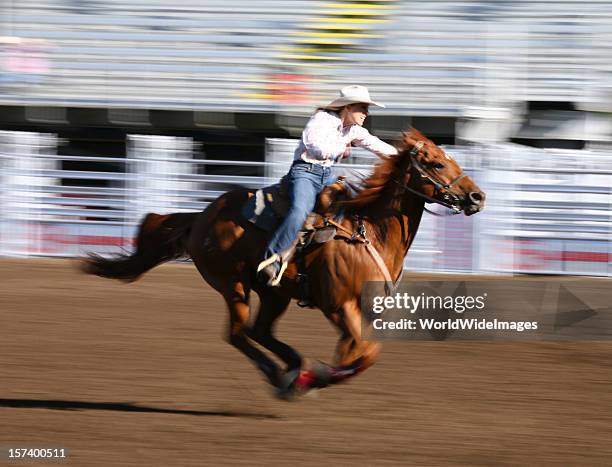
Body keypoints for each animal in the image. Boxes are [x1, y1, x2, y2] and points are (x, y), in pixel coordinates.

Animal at [81, 130, 486, 400]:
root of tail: (201, 217)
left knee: (259, 331)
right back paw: (283, 376)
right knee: (238, 334)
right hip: (233, 285)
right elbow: (362, 353)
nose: (477, 196)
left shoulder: (366, 311)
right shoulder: (339, 307)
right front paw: (315, 377)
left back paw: (292, 368)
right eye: (436, 163)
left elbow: (361, 353)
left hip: (274, 293)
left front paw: (314, 375)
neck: (369, 233)